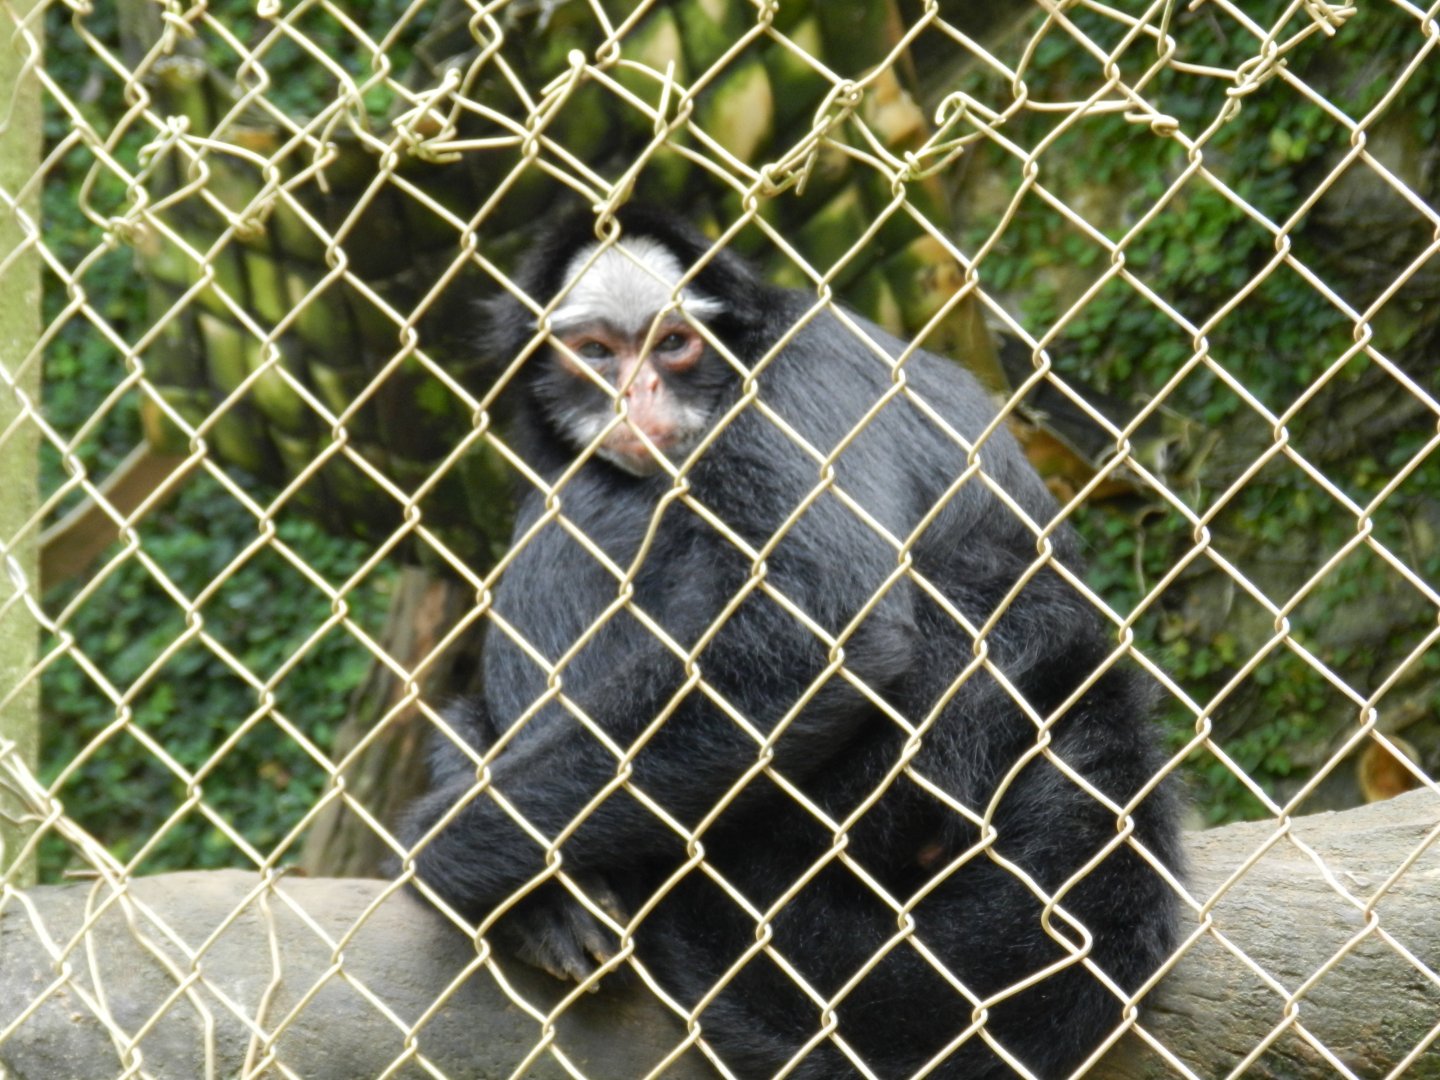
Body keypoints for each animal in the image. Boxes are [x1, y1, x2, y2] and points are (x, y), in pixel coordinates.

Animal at [401, 205, 1183, 1079]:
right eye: (598, 354)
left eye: (674, 345)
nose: (638, 392)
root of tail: (1084, 680)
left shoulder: (797, 375)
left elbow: (827, 634)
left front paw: (440, 853)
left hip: (913, 739)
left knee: (592, 502)